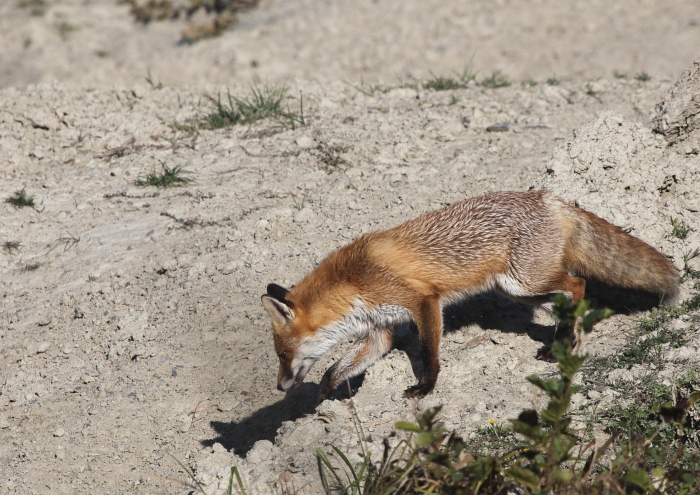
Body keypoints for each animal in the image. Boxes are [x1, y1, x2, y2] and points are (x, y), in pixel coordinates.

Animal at [258, 190, 680, 404]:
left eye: (283, 354)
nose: (278, 387)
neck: (353, 284)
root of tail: (547, 197)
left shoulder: (424, 302)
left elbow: (430, 353)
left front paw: (426, 388)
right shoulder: (381, 332)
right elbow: (336, 368)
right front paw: (328, 394)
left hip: (525, 282)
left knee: (578, 286)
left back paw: (571, 344)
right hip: (518, 290)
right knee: (563, 298)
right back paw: (558, 345)